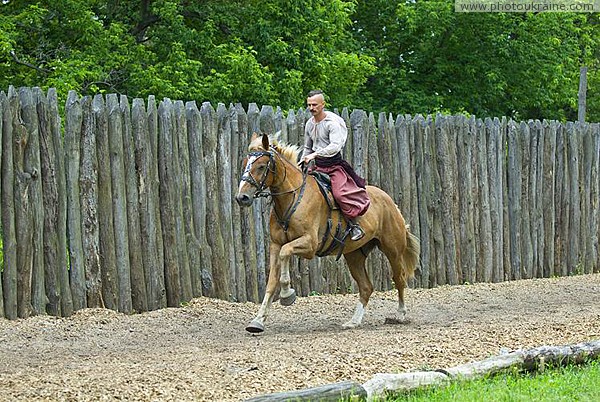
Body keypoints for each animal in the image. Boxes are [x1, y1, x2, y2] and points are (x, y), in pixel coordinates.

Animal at [237, 133, 420, 332]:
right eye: (245, 162)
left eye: (261, 166)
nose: (242, 197)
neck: (293, 197)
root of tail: (391, 202)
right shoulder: (275, 245)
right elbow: (271, 282)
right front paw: (258, 320)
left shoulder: (309, 245)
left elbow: (286, 253)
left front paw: (287, 293)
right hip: (354, 255)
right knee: (366, 287)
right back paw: (354, 321)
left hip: (392, 250)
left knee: (399, 278)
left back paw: (400, 314)